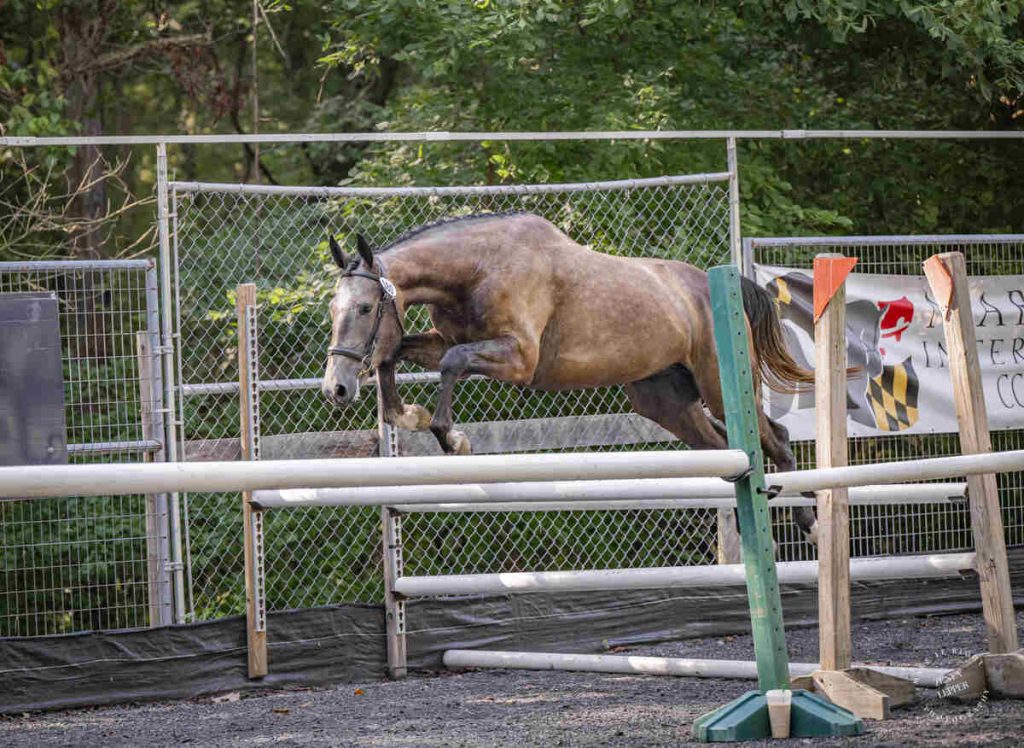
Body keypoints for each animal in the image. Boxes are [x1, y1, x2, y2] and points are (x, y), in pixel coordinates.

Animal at [321, 212, 818, 539]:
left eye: (364, 308)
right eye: (332, 309)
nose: (336, 389)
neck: (477, 268)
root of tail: (713, 285)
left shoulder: (520, 358)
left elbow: (451, 363)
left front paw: (451, 438)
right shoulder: (447, 340)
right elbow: (393, 355)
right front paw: (408, 414)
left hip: (718, 382)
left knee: (774, 437)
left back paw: (809, 519)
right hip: (665, 401)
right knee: (726, 448)